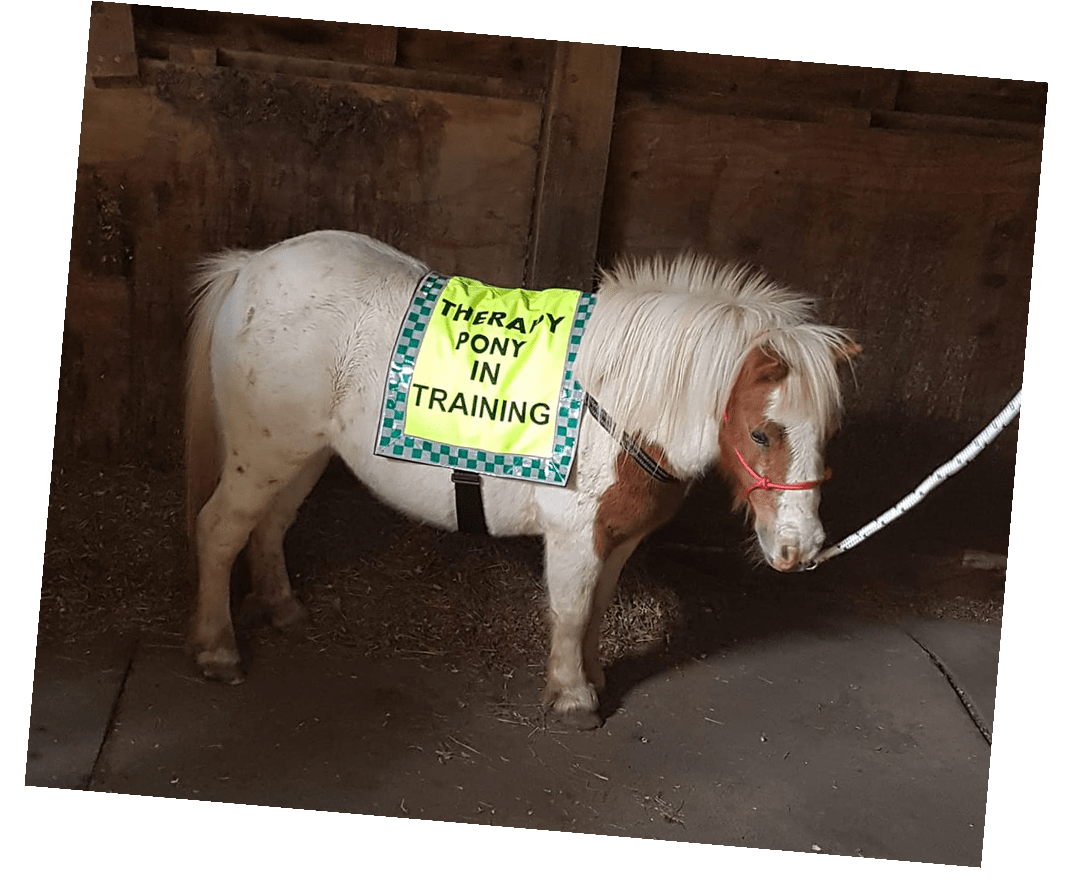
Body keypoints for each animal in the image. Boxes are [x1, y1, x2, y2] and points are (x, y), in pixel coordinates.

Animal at [185, 229, 858, 730]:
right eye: (762, 435)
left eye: (828, 430)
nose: (801, 547)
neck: (617, 398)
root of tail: (251, 266)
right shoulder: (574, 533)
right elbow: (570, 607)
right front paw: (572, 698)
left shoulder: (618, 535)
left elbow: (597, 606)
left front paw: (593, 675)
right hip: (262, 451)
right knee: (219, 530)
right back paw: (217, 649)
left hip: (301, 452)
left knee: (270, 524)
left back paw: (281, 607)